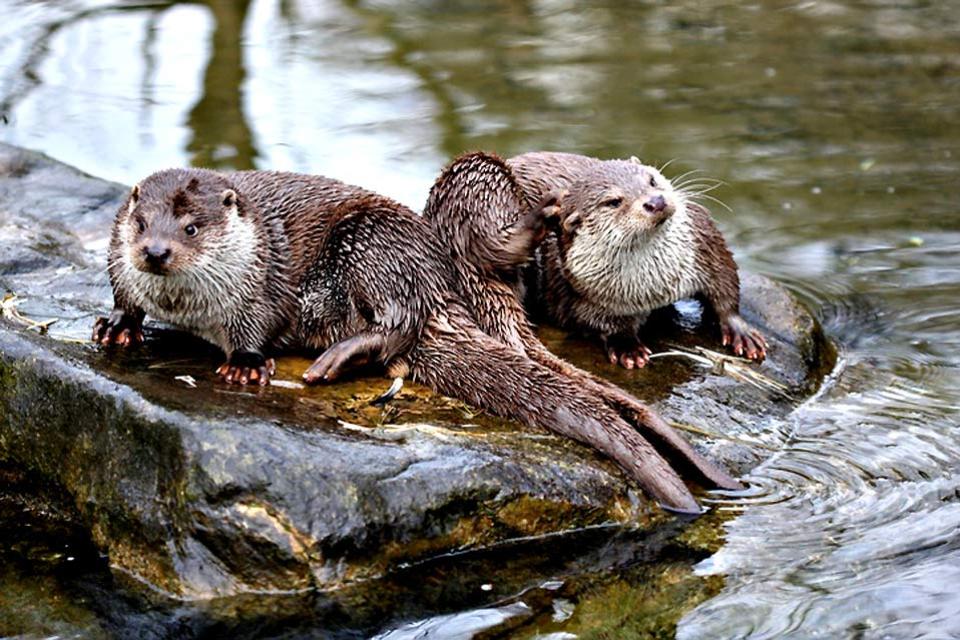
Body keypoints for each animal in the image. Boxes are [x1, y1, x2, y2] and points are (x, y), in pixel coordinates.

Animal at [94, 162, 736, 512]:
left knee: (398, 324)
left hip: (371, 241)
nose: (155, 251)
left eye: (191, 227)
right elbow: (123, 294)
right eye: (142, 223)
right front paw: (117, 326)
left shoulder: (264, 281)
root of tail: (439, 277)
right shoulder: (120, 263)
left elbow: (256, 325)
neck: (191, 308)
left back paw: (337, 357)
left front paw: (247, 363)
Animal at [506, 151, 768, 368]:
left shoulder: (705, 244)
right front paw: (627, 347)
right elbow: (598, 322)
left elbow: (725, 285)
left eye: (651, 181)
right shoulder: (584, 294)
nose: (656, 201)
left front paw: (741, 332)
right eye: (613, 202)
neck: (659, 285)